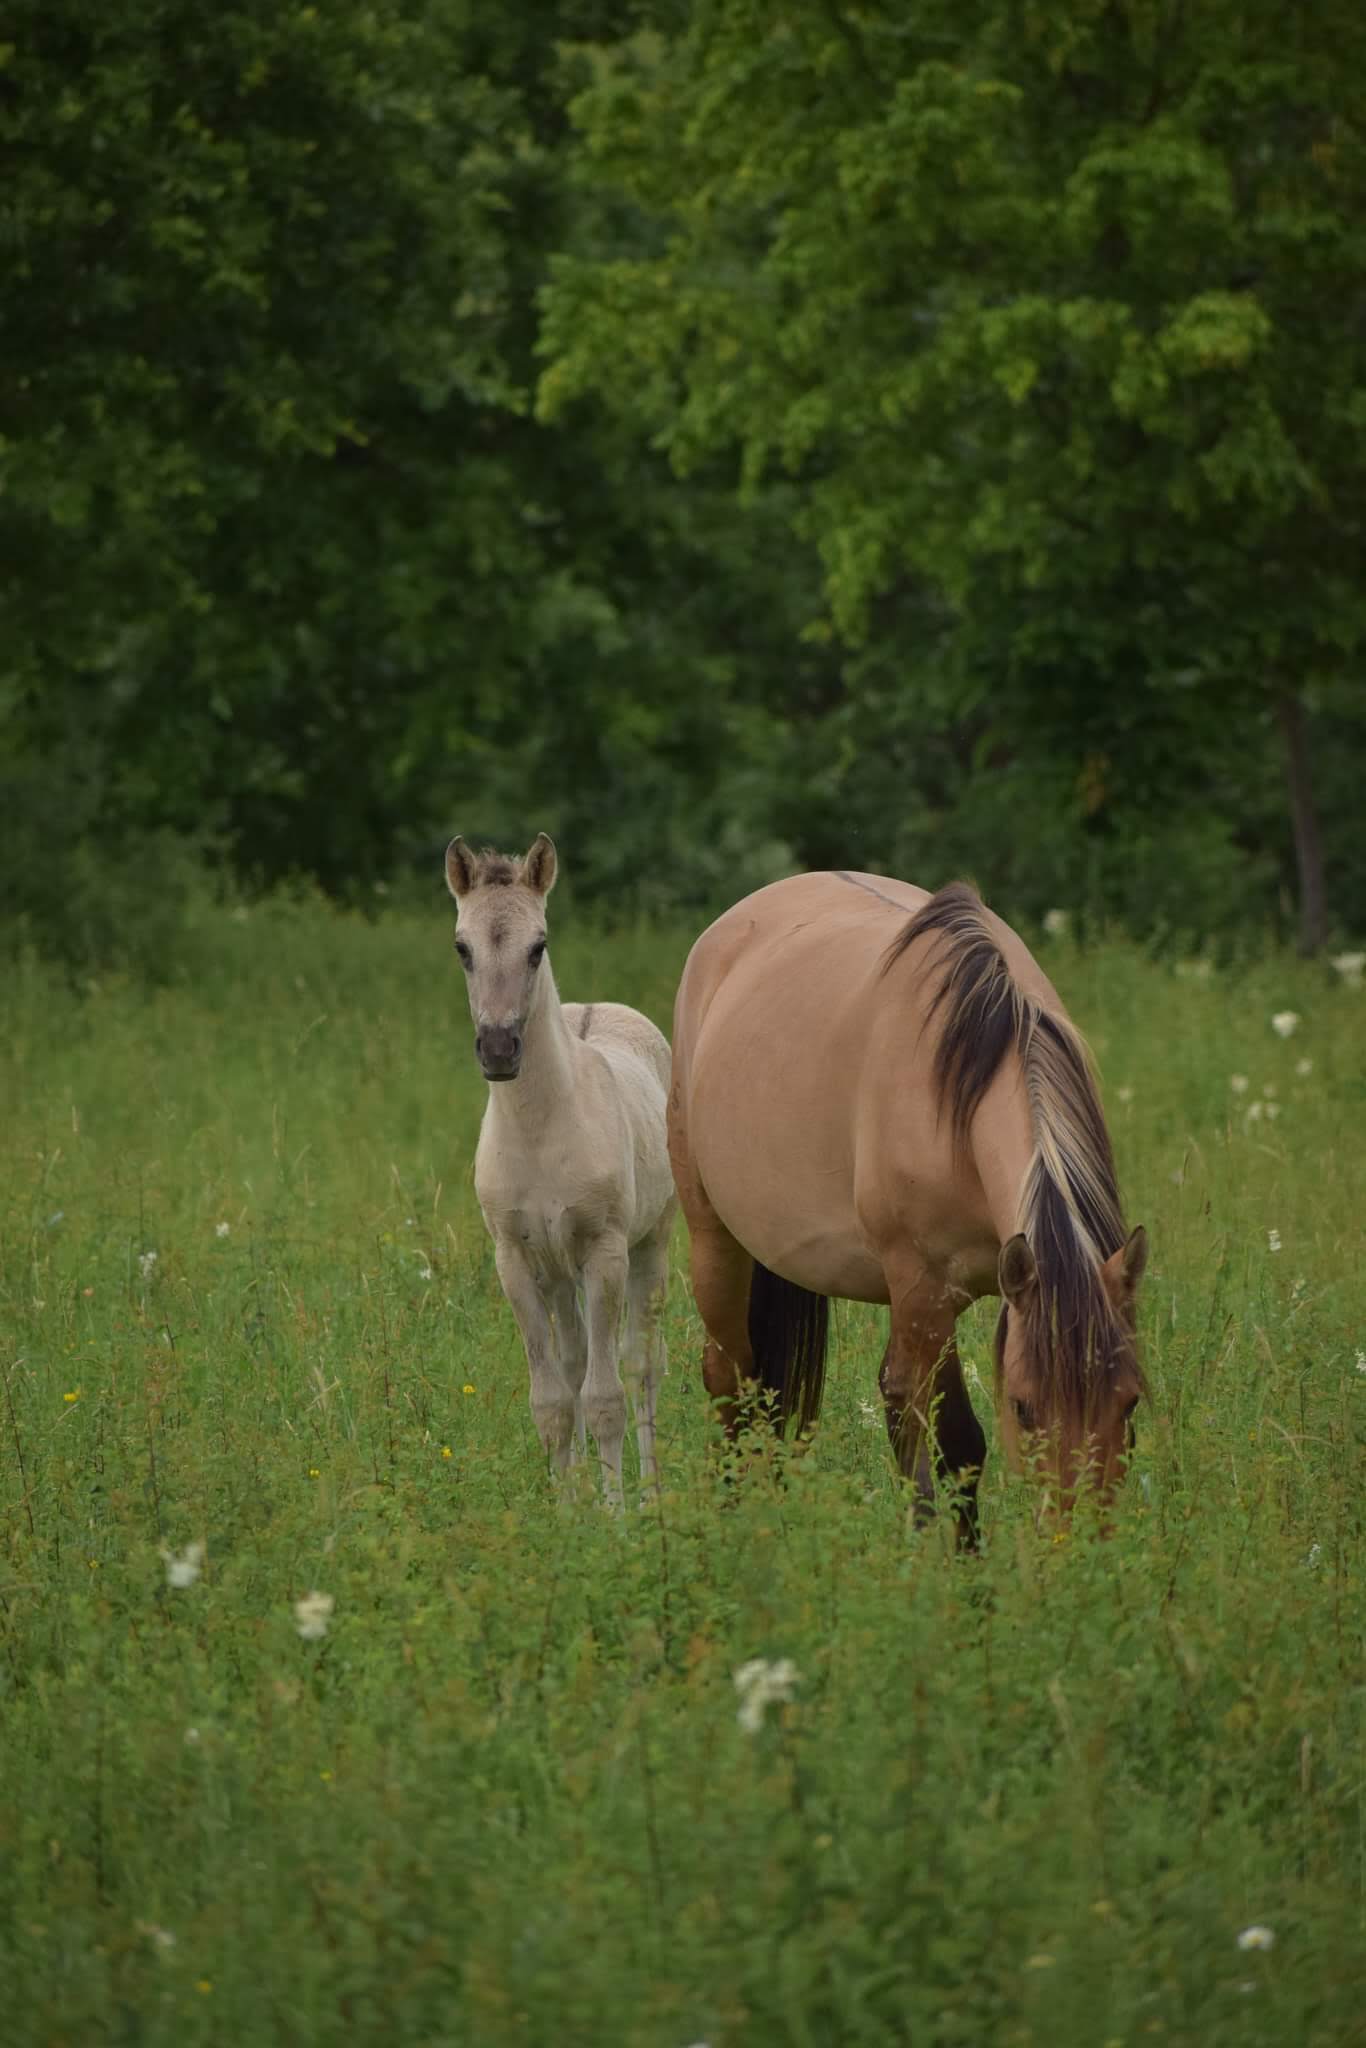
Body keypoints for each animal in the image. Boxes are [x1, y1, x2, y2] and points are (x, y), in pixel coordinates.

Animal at [448, 831, 679, 1507]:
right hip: (557, 1272)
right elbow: (552, 1400)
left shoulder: (604, 1252)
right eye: (463, 948)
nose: (499, 1050)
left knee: (642, 1363)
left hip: (650, 1244)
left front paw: (617, 1515)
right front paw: (567, 1512)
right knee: (576, 1364)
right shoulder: (516, 1262)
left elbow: (605, 1398)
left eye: (538, 946)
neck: (543, 1130)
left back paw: (652, 1494)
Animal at [667, 868, 1146, 1540]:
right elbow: (959, 1443)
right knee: (730, 1377)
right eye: (1023, 1407)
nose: (1079, 1549)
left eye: (1129, 1401)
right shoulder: (924, 1291)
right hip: (715, 1239)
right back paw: (736, 1518)